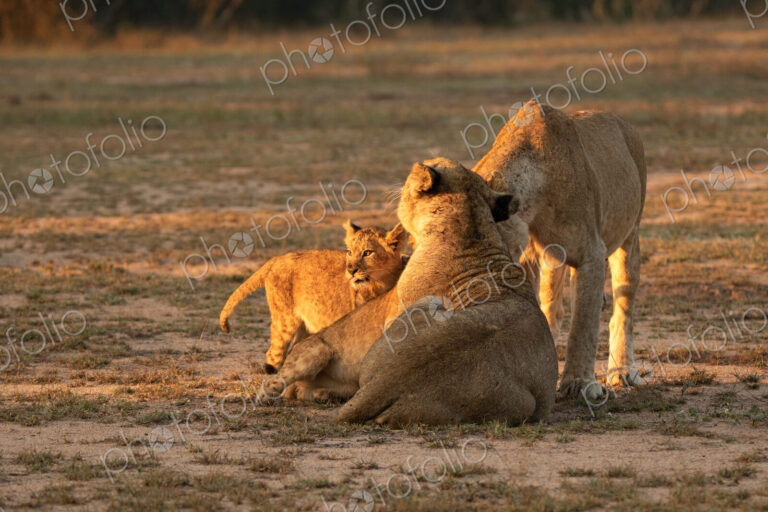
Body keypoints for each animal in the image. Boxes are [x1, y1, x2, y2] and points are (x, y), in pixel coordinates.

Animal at [218, 221, 406, 373]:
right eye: (349, 252)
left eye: (367, 252)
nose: (350, 269)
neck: (379, 283)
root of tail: (278, 258)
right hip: (285, 320)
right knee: (274, 353)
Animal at [473, 101, 647, 399]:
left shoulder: (591, 253)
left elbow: (583, 325)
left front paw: (578, 384)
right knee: (552, 306)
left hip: (629, 234)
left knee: (623, 305)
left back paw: (622, 370)